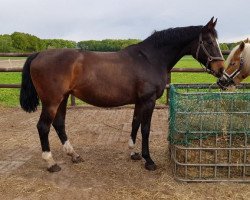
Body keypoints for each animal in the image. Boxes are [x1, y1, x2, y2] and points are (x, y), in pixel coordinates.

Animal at [20, 18, 226, 173]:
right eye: (209, 42)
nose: (221, 70)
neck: (150, 58)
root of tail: (39, 54)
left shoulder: (139, 101)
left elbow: (135, 124)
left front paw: (133, 153)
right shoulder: (149, 101)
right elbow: (145, 129)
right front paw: (148, 160)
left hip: (62, 99)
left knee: (59, 124)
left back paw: (74, 155)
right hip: (51, 101)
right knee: (43, 127)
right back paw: (51, 163)